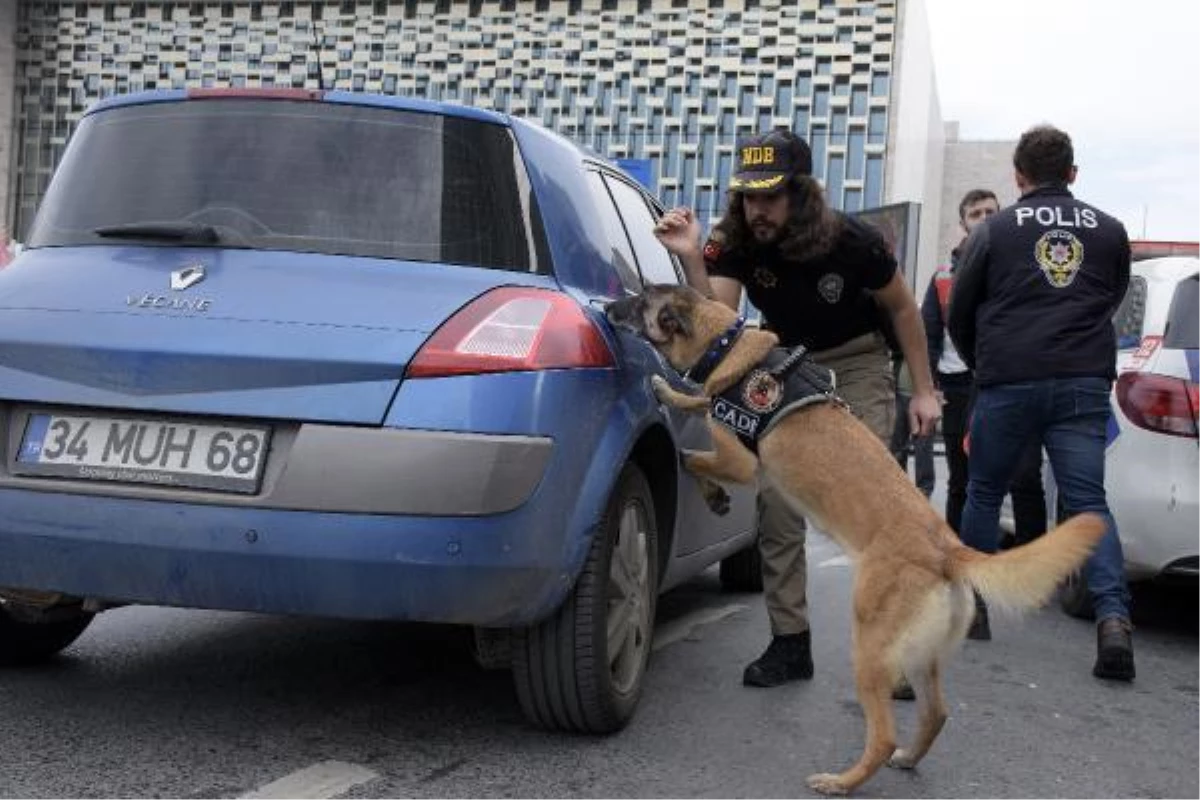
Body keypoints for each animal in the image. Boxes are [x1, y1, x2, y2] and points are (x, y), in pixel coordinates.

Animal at [609, 284, 1104, 796]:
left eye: (639, 302)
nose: (607, 309)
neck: (725, 346)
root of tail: (948, 550)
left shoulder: (743, 463)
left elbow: (690, 457)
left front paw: (709, 485)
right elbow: (695, 405)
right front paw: (669, 391)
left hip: (868, 644)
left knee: (883, 735)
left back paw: (842, 781)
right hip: (919, 657)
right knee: (936, 713)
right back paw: (907, 758)